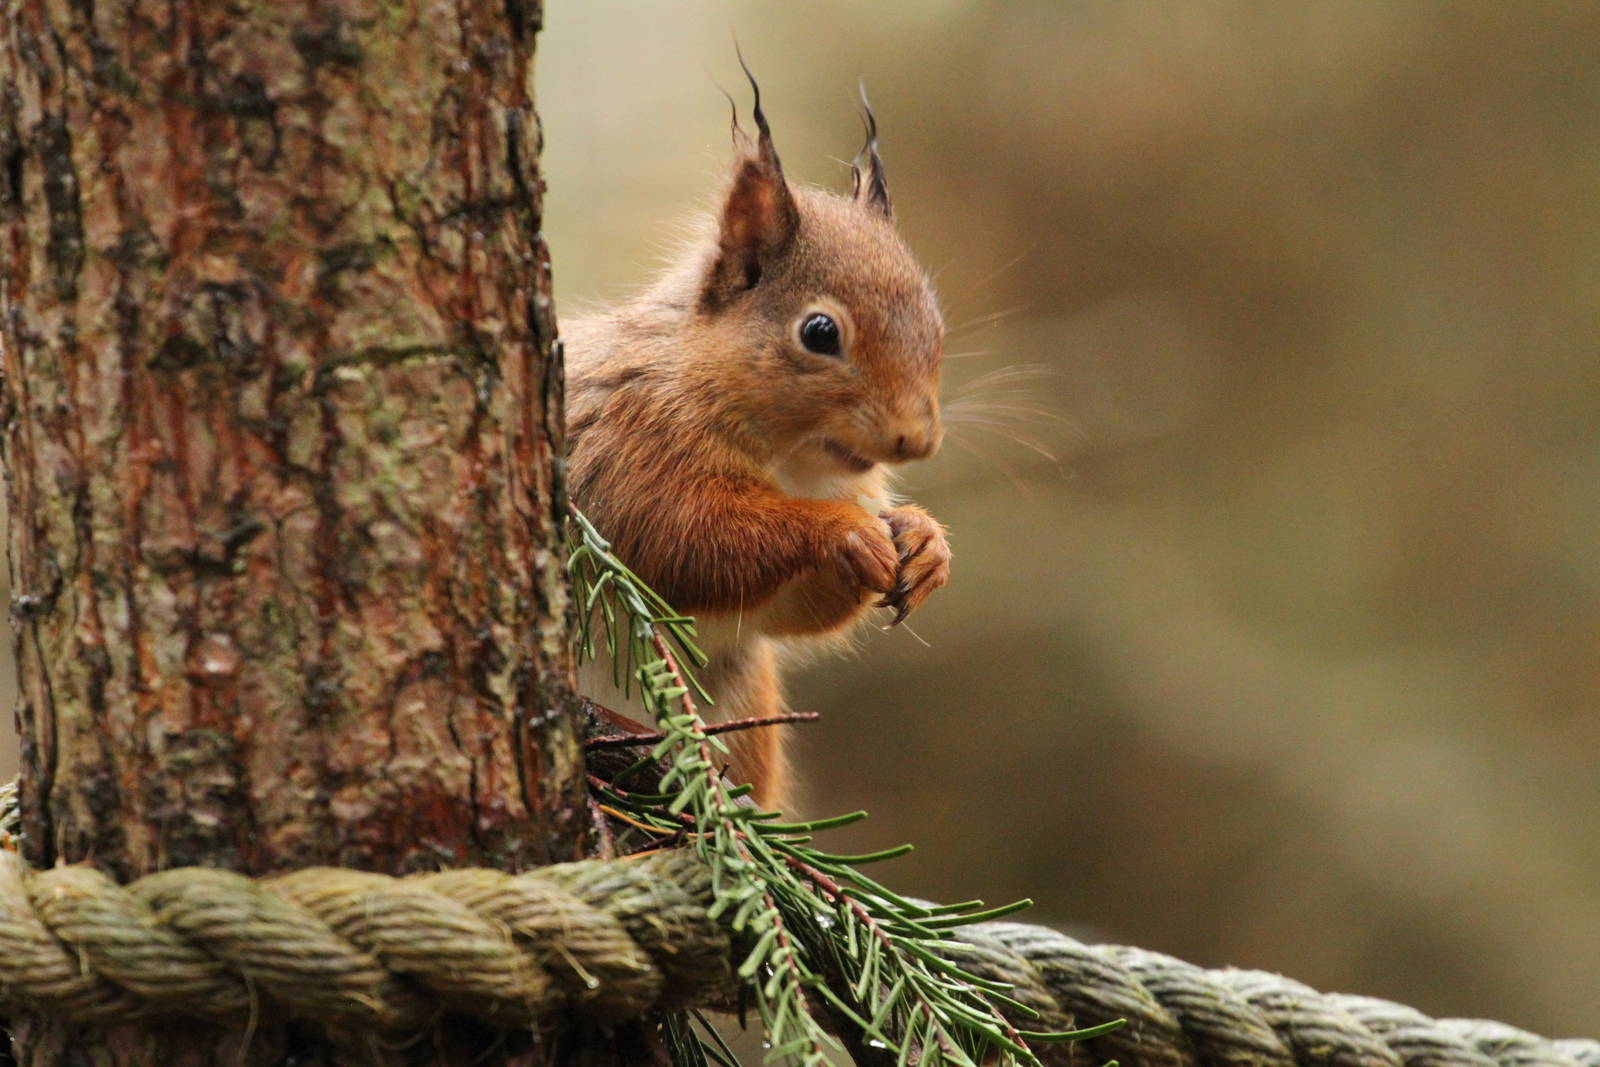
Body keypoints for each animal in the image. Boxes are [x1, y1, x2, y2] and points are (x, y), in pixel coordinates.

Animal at [564, 73, 949, 810]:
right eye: (820, 332)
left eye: (935, 323)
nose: (916, 440)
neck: (793, 461)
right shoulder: (633, 446)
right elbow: (688, 539)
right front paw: (839, 531)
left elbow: (787, 613)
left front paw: (923, 540)